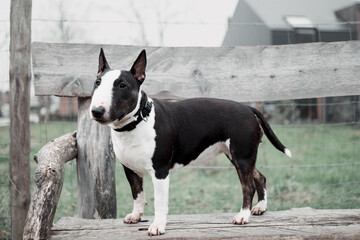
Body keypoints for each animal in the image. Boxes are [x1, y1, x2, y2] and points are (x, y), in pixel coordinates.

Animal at [90, 48, 292, 236]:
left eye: (122, 85)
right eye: (97, 82)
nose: (96, 111)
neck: (136, 122)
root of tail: (249, 108)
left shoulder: (160, 171)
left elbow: (160, 203)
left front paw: (157, 226)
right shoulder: (130, 169)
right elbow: (137, 194)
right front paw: (136, 216)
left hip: (242, 156)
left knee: (248, 186)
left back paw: (243, 215)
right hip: (238, 155)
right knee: (259, 176)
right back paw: (260, 207)